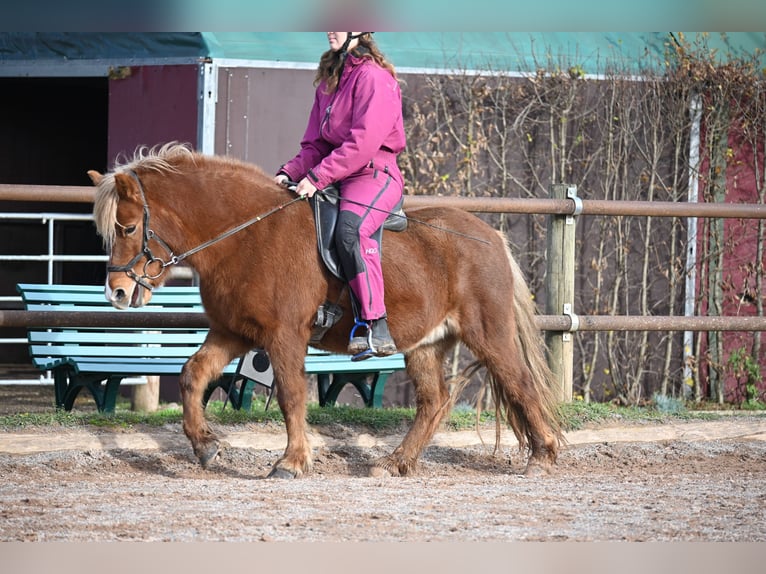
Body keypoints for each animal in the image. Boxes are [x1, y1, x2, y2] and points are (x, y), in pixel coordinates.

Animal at [90, 145, 560, 482]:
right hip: (426, 344)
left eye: (128, 227)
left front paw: (291, 462)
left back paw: (542, 457)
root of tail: (490, 235)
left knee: (520, 383)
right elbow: (193, 374)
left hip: (488, 332)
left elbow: (291, 394)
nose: (117, 292)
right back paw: (395, 463)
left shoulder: (284, 335)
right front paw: (205, 446)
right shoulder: (232, 331)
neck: (246, 236)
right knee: (434, 401)